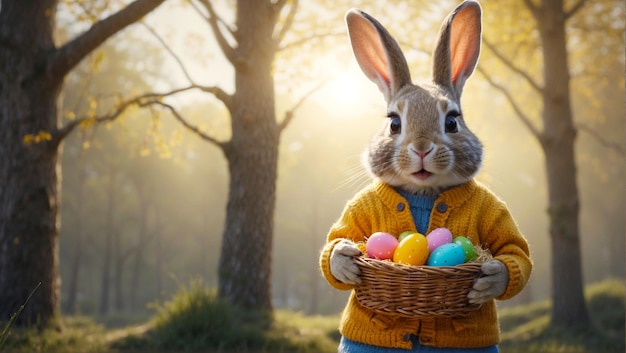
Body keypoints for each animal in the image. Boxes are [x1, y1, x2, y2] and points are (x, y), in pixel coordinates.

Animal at [316, 1, 532, 350]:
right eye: (394, 123)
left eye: (452, 122)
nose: (421, 148)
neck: (424, 192)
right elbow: (336, 240)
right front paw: (344, 261)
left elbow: (514, 252)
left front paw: (490, 280)